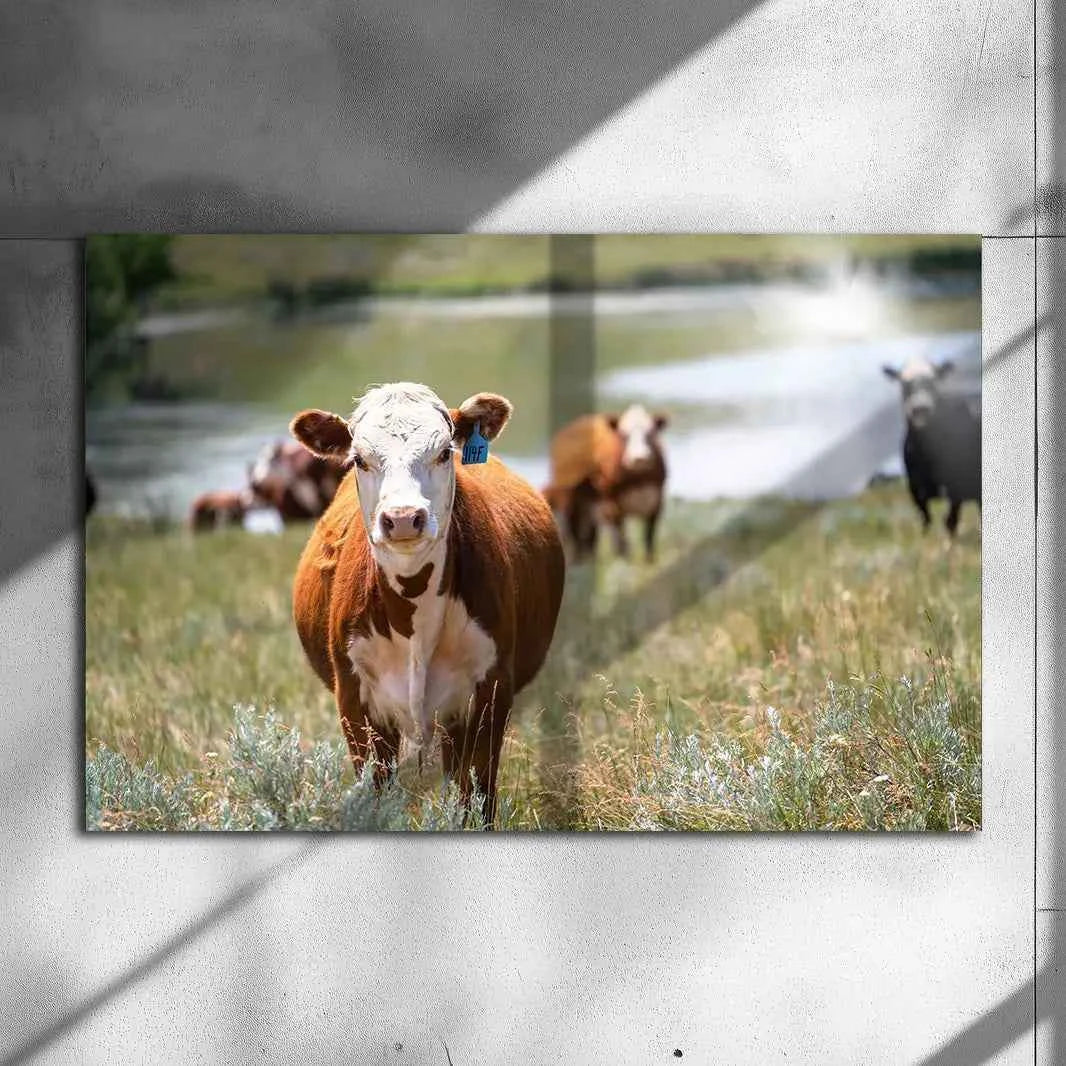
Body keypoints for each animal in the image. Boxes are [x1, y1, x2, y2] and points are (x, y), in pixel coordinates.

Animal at [289, 382, 565, 825]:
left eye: (444, 452)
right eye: (359, 459)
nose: (403, 518)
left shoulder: (489, 694)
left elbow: (477, 798)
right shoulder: (354, 702)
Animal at [543, 404, 669, 562]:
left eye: (650, 433)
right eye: (623, 435)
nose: (639, 458)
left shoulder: (656, 503)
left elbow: (649, 537)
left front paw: (649, 561)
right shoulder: (613, 506)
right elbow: (620, 541)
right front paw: (623, 561)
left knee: (588, 535)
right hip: (568, 498)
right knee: (573, 531)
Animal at [882, 357, 981, 536]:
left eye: (934, 381)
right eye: (904, 384)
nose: (920, 409)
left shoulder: (956, 486)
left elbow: (950, 522)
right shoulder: (915, 488)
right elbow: (925, 520)